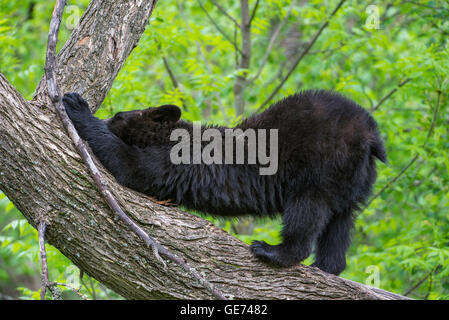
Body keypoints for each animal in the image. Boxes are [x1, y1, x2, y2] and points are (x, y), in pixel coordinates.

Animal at [62, 90, 384, 276]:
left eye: (118, 115)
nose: (108, 116)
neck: (171, 136)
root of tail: (371, 136)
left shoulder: (172, 160)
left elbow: (131, 166)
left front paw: (77, 107)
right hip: (352, 181)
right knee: (341, 221)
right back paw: (328, 266)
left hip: (320, 167)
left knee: (308, 209)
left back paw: (273, 251)